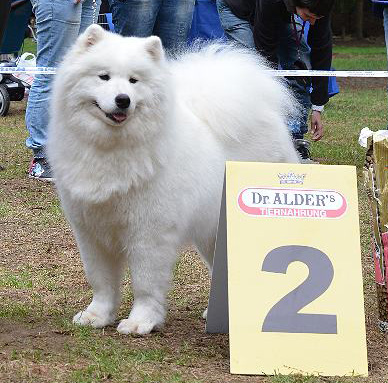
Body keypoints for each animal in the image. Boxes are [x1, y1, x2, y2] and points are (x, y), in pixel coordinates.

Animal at [47, 24, 300, 336]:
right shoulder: (91, 231)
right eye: (103, 77)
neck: (112, 149)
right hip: (213, 231)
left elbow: (145, 283)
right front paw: (97, 316)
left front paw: (141, 322)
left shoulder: (149, 231)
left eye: (134, 81)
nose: (123, 99)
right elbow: (101, 280)